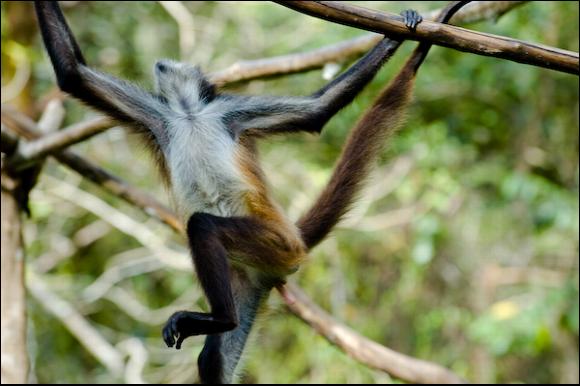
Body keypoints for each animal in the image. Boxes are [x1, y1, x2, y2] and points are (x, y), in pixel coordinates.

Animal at [34, 0, 466, 382]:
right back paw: (221, 325)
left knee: (203, 226)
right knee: (213, 359)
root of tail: (292, 243)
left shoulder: (230, 113)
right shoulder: (159, 117)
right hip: (246, 275)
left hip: (273, 242)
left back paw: (221, 316)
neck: (189, 113)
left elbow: (318, 109)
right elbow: (73, 73)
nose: (162, 62)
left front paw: (407, 33)